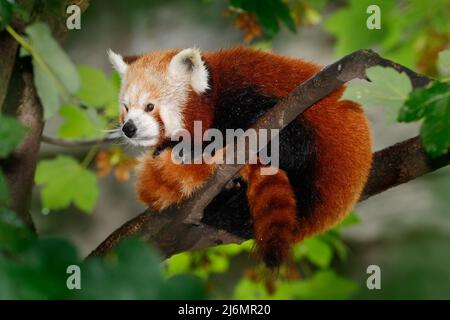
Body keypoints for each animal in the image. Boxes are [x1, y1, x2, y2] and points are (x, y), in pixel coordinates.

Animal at [107, 47, 370, 268]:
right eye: (126, 108)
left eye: (150, 106)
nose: (128, 128)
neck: (215, 94)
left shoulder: (258, 98)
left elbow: (288, 144)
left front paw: (204, 146)